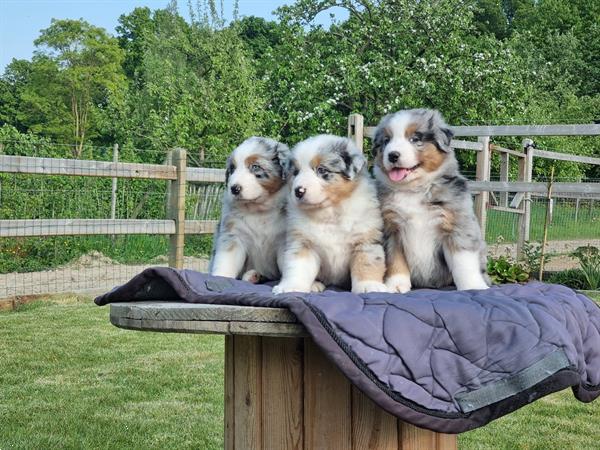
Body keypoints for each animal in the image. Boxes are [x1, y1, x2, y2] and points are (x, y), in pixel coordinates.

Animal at [209, 135, 288, 284]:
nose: (234, 188)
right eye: (232, 169)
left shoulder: (284, 241)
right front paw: (220, 278)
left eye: (255, 167)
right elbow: (226, 262)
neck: (259, 210)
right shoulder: (233, 236)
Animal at [274, 134, 390, 296]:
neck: (330, 213)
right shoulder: (303, 243)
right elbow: (297, 267)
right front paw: (291, 287)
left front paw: (369, 286)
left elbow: (367, 263)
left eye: (322, 170)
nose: (298, 191)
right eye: (295, 172)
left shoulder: (365, 240)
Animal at [372, 109, 490, 292]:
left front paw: (473, 286)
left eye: (415, 139)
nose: (392, 155)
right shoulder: (391, 228)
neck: (414, 189)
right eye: (386, 141)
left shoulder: (457, 226)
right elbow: (395, 260)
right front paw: (396, 285)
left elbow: (463, 262)